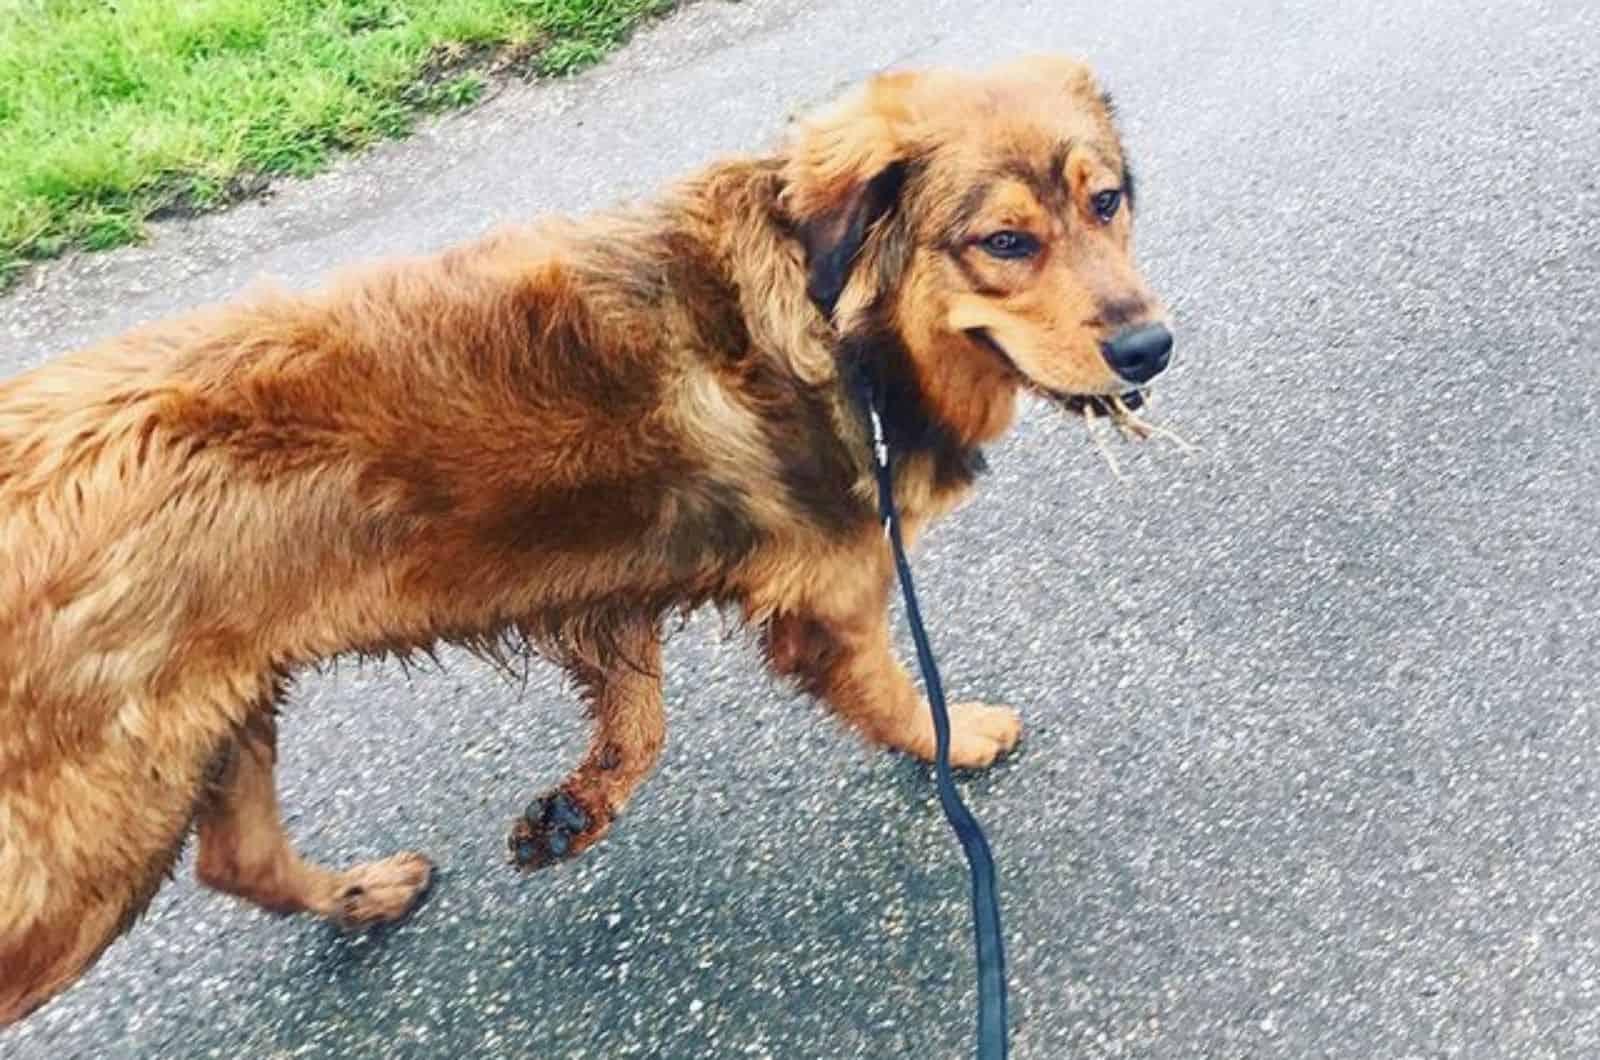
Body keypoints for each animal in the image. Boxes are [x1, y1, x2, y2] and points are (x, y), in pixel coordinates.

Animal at [0, 54, 1177, 1024]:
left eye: (1106, 201)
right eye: (1005, 243)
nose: (1149, 348)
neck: (831, 316)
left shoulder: (610, 594)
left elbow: (638, 719)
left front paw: (576, 808)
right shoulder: (833, 598)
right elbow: (895, 695)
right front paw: (956, 741)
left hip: (218, 723)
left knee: (239, 861)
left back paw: (365, 893)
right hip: (91, 847)